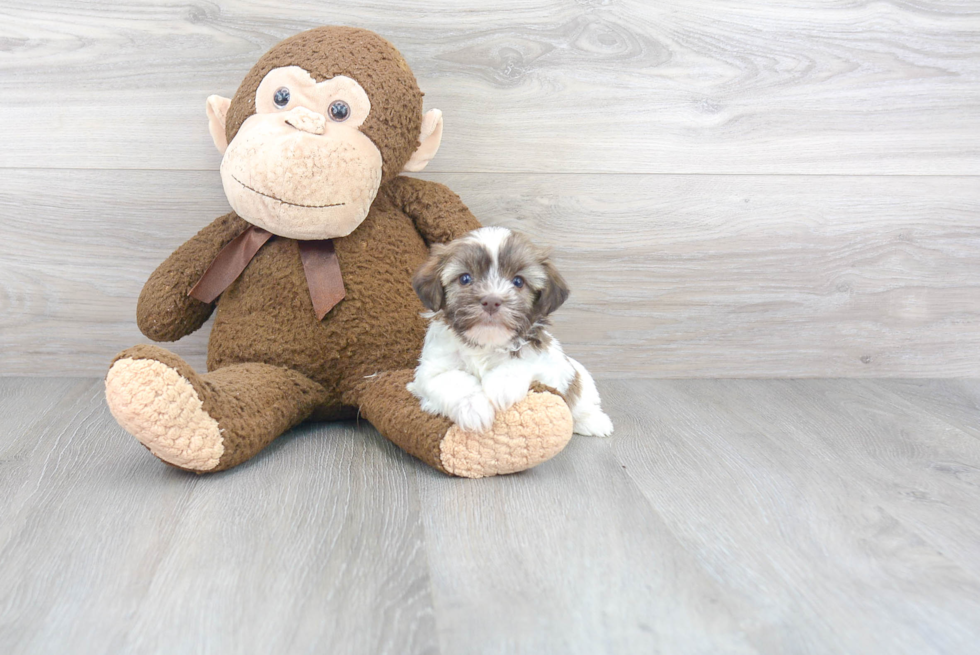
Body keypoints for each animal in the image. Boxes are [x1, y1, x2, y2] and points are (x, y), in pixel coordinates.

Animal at [406, 228, 612, 438]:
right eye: (465, 278)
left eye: (518, 281)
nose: (491, 300)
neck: (486, 343)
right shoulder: (430, 370)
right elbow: (451, 379)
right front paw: (474, 409)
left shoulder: (551, 365)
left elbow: (526, 360)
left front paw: (502, 385)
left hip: (581, 380)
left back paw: (594, 421)